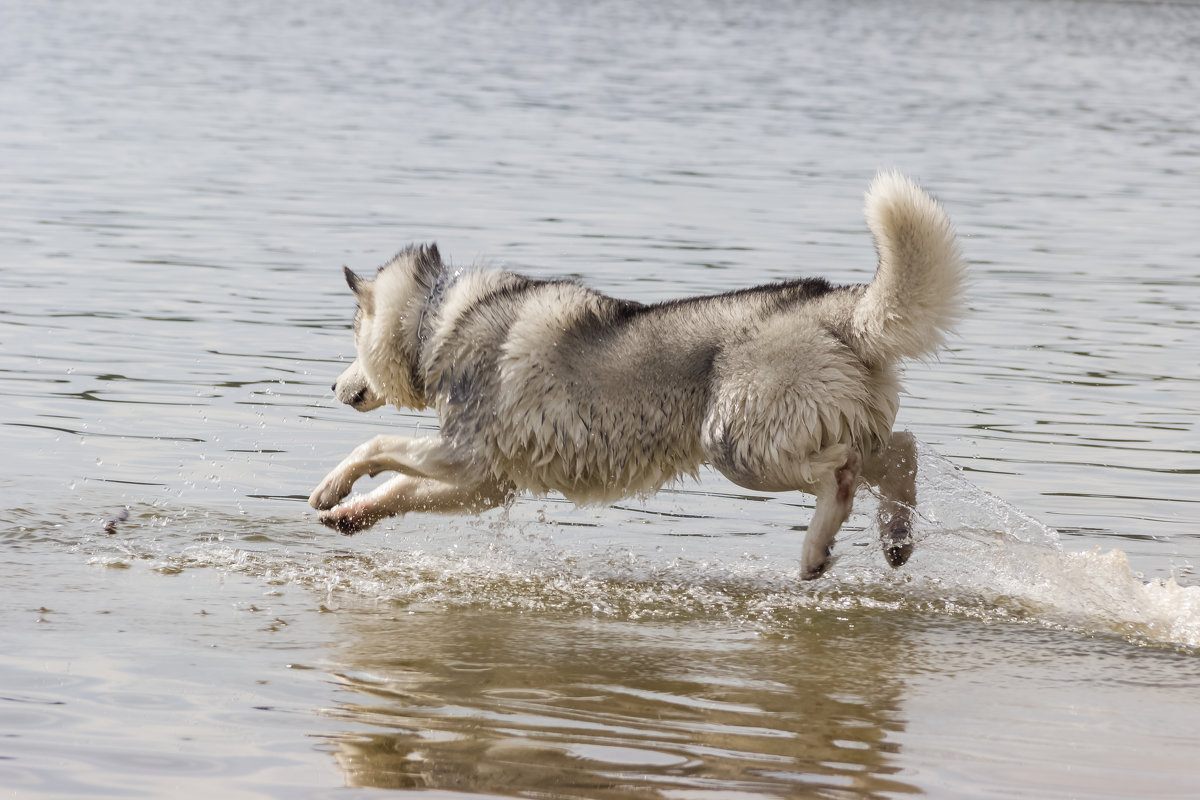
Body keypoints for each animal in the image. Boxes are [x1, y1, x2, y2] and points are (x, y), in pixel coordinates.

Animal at [307, 172, 964, 578]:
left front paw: (331, 488)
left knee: (844, 470)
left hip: (739, 446)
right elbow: (398, 489)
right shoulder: (487, 480)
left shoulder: (467, 455)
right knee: (902, 450)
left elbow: (377, 445)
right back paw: (896, 539)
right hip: (821, 428)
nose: (334, 387)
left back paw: (815, 548)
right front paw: (348, 516)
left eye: (351, 335)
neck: (439, 318)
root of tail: (836, 304)